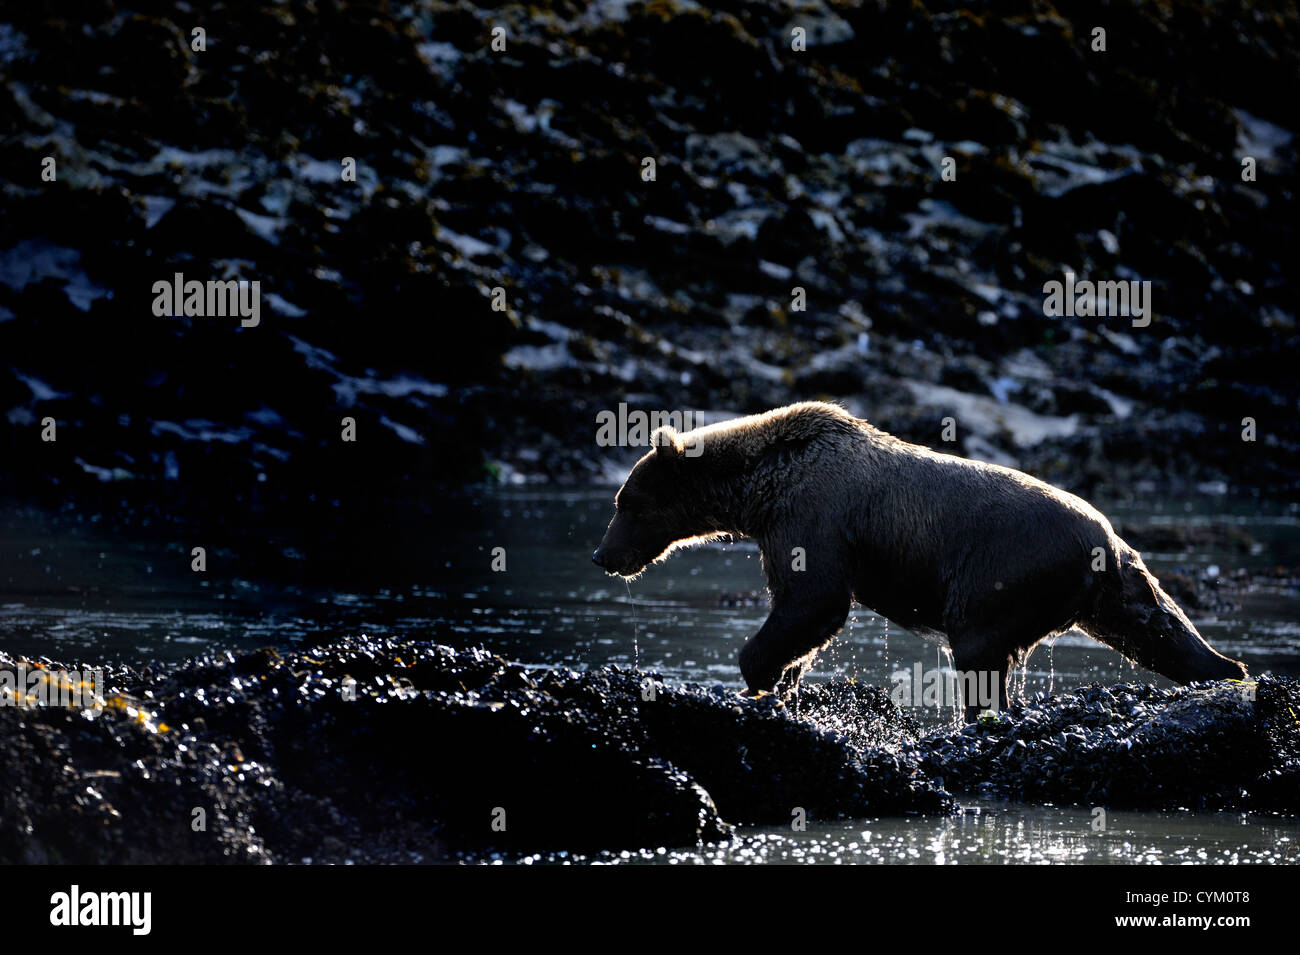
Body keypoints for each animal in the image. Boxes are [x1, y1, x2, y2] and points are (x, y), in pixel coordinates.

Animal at [592, 400, 1248, 722]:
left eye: (628, 502)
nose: (603, 553)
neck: (760, 488)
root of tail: (1106, 540)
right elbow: (803, 612)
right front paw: (784, 678)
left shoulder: (813, 519)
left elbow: (814, 601)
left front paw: (758, 672)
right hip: (1108, 589)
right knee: (1155, 624)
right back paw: (1225, 667)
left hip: (1001, 573)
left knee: (978, 647)